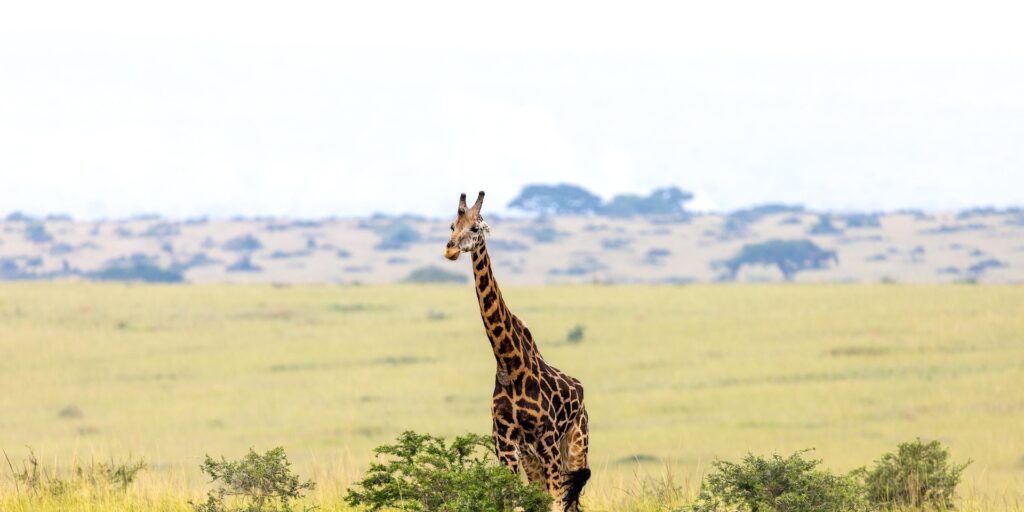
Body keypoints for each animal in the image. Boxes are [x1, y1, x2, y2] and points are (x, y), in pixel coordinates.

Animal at [445, 191, 591, 512]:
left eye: (475, 227)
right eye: (452, 225)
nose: (450, 249)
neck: (510, 364)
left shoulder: (547, 441)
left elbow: (555, 504)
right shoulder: (506, 445)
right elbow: (516, 503)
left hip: (575, 443)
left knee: (572, 502)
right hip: (533, 459)